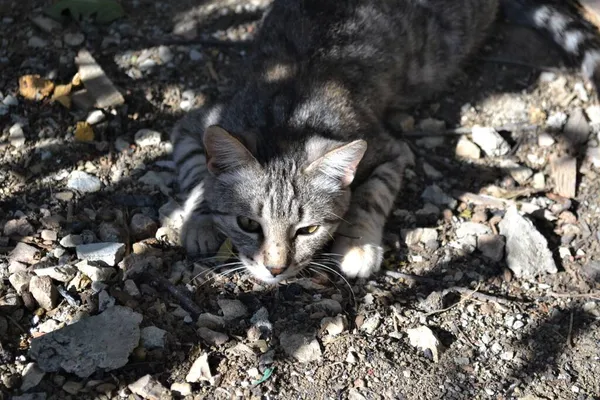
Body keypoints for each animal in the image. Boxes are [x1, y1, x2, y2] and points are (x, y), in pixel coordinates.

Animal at [171, 0, 600, 284]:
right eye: (247, 223)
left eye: (307, 231)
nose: (276, 268)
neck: (288, 115)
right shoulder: (196, 121)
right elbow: (195, 175)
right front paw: (198, 221)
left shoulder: (389, 148)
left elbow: (370, 196)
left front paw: (358, 246)